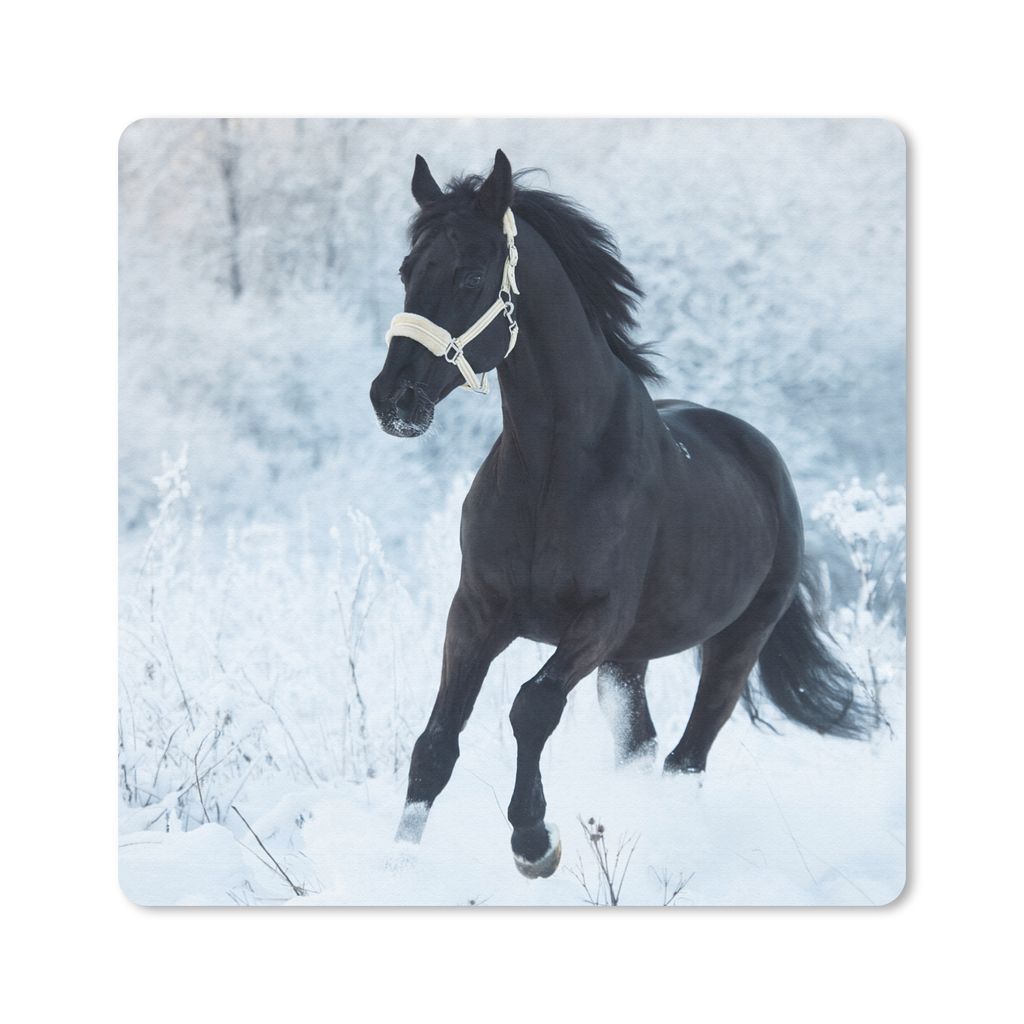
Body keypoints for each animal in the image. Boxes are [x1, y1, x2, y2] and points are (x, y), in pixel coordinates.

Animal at [369, 150, 874, 879]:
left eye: (470, 274)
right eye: (408, 270)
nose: (394, 399)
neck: (553, 471)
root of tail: (761, 456)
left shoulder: (597, 622)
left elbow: (533, 707)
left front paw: (535, 841)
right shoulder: (477, 613)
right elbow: (436, 742)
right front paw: (396, 863)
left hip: (734, 643)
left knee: (685, 758)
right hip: (629, 663)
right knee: (645, 746)